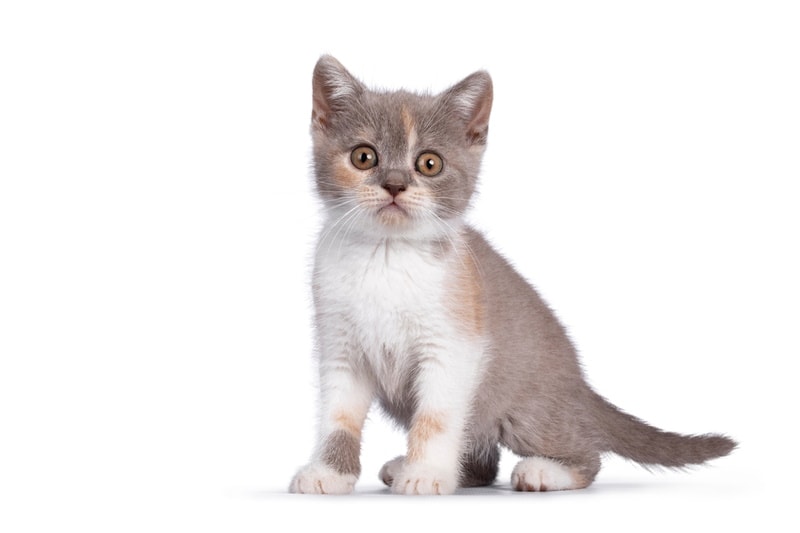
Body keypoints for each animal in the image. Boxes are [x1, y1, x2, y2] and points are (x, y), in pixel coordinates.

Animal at [290, 55, 736, 494]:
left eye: (429, 163)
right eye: (364, 157)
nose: (395, 185)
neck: (387, 254)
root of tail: (579, 386)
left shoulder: (454, 346)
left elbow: (436, 417)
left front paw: (426, 474)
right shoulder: (341, 348)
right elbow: (338, 418)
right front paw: (330, 473)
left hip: (525, 412)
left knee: (586, 455)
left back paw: (543, 472)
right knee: (485, 462)